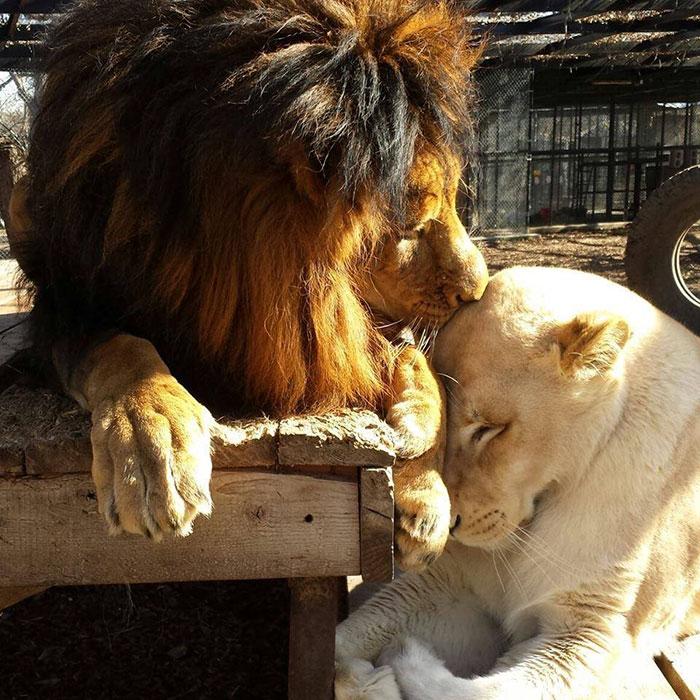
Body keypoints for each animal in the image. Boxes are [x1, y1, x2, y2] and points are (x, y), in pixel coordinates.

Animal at [12, 0, 486, 565]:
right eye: (412, 226)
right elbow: (122, 349)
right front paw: (153, 443)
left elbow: (415, 363)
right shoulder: (64, 310)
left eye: (452, 200)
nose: (479, 289)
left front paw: (423, 474)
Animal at [335, 267, 700, 699]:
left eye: (490, 429)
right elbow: (349, 633)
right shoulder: (451, 585)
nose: (451, 527)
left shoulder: (593, 632)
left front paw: (396, 663)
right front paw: (354, 673)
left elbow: (485, 691)